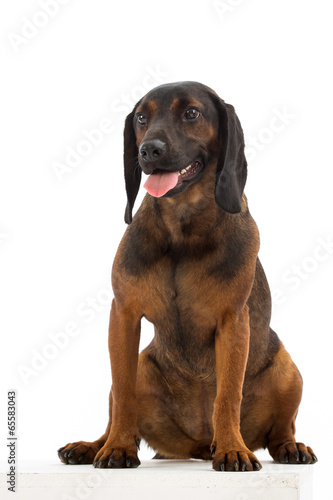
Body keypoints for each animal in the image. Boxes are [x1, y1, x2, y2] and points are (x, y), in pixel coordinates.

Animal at [57, 80, 316, 470]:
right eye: (141, 118)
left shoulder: (232, 324)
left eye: (192, 113)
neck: (182, 229)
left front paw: (232, 448)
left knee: (280, 431)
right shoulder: (123, 317)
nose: (149, 149)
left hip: (288, 370)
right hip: (143, 364)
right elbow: (124, 392)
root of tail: (198, 443)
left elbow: (228, 395)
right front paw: (117, 446)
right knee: (120, 403)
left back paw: (288, 447)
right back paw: (93, 445)